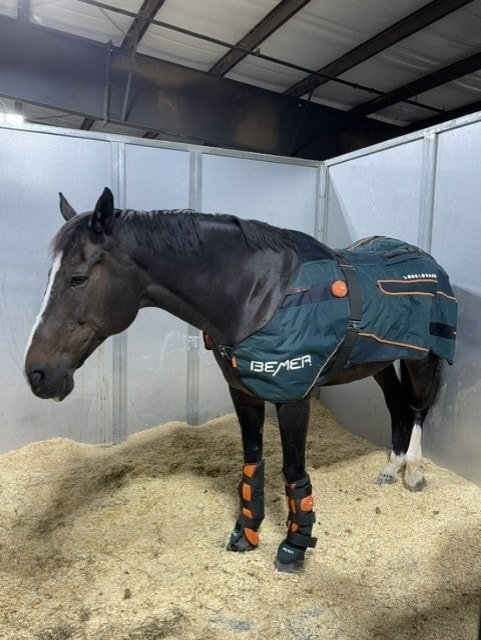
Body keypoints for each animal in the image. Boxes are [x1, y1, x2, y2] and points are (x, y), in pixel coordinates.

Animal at [24, 187, 457, 572]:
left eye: (78, 278)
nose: (37, 374)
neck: (257, 295)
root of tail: (430, 262)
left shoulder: (293, 396)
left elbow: (294, 473)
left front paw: (293, 547)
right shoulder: (244, 392)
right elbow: (253, 463)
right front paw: (246, 534)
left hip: (422, 360)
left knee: (418, 408)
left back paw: (414, 472)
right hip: (382, 362)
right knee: (398, 406)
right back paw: (391, 468)